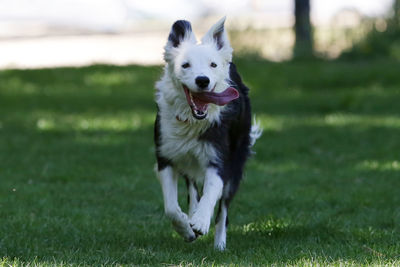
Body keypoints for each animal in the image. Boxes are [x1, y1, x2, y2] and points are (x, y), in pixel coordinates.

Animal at [154, 17, 262, 251]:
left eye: (213, 65)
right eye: (185, 65)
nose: (202, 80)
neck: (193, 121)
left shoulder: (220, 160)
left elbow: (212, 191)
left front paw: (201, 221)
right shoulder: (166, 156)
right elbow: (171, 207)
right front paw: (186, 228)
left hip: (237, 160)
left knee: (223, 210)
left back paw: (219, 244)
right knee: (193, 187)